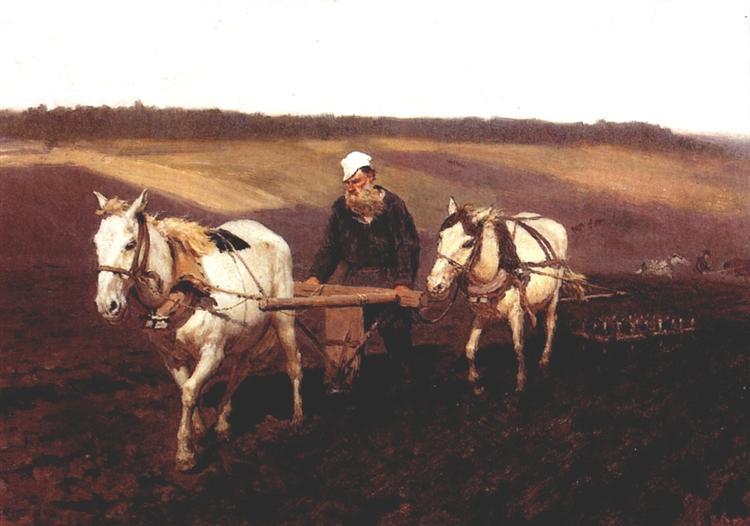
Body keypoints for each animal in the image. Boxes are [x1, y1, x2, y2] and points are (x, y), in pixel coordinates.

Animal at [92, 191, 304, 474]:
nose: (107, 305)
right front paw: (199, 429)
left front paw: (185, 452)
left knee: (293, 363)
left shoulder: (212, 353)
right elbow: (186, 389)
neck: (183, 286)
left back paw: (297, 417)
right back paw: (223, 422)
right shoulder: (171, 357)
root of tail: (268, 232)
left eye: (130, 244)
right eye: (96, 243)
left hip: (283, 318)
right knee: (240, 371)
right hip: (245, 334)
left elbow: (191, 391)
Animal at [428, 199, 576, 396]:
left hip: (554, 294)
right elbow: (470, 348)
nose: (434, 285)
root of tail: (552, 222)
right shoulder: (481, 315)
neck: (494, 272)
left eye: (468, 243)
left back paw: (544, 359)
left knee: (550, 323)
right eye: (440, 237)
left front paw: (521, 383)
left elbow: (518, 347)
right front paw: (475, 383)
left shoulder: (516, 313)